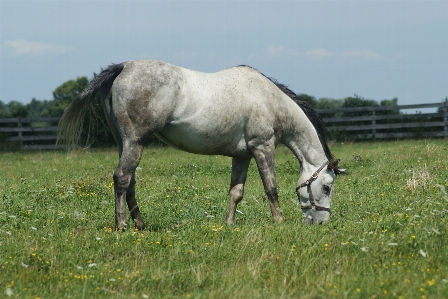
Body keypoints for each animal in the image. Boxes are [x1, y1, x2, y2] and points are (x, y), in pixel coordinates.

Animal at [57, 59, 346, 231]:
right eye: (327, 187)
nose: (321, 222)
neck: (270, 100)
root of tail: (123, 67)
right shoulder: (263, 149)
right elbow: (271, 188)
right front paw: (279, 222)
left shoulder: (242, 156)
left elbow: (236, 192)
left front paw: (229, 224)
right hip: (134, 142)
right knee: (122, 179)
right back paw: (122, 226)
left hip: (125, 143)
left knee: (130, 182)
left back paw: (140, 224)